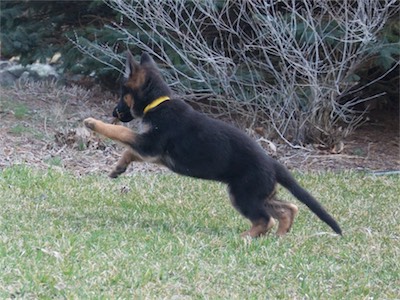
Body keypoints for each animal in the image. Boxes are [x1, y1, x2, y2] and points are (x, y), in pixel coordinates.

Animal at [83, 51, 342, 238]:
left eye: (122, 94)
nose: (113, 112)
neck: (157, 104)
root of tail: (272, 163)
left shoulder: (151, 143)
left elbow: (121, 132)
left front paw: (93, 123)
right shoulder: (154, 153)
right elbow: (129, 150)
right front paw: (119, 168)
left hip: (243, 194)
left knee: (265, 219)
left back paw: (244, 237)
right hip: (259, 193)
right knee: (289, 209)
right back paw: (280, 235)